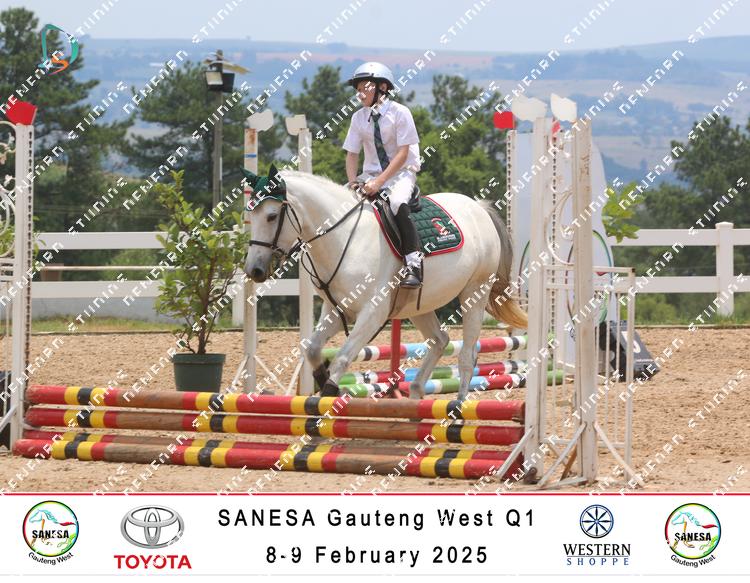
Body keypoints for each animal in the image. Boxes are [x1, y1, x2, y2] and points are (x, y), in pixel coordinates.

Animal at [242, 164, 528, 401]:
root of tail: (477, 207)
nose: (253, 270)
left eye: (271, 216)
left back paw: (456, 407)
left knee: (467, 355)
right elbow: (312, 349)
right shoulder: (335, 309)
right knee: (440, 341)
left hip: (474, 292)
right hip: (421, 305)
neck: (343, 237)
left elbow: (343, 356)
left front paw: (331, 391)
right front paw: (322, 377)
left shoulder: (373, 312)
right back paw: (416, 394)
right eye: (250, 217)